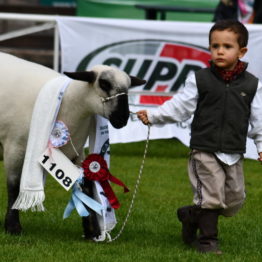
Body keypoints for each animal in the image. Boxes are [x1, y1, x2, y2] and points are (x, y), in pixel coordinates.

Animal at [0, 51, 145, 235]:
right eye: (104, 83)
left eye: (128, 87)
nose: (122, 119)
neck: (68, 105)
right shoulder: (14, 147)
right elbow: (14, 186)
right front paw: (13, 226)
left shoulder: (76, 152)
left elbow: (87, 187)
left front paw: (92, 230)